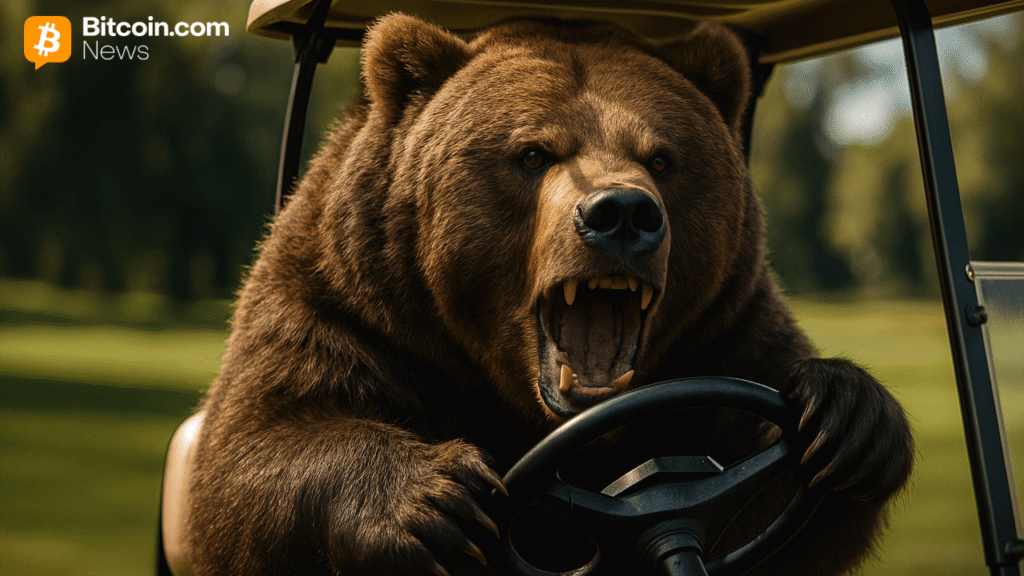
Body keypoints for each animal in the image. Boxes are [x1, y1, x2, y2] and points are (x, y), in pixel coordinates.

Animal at [185, 13, 914, 576]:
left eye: (661, 157)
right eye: (533, 153)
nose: (621, 214)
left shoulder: (726, 332)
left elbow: (780, 510)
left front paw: (848, 418)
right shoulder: (355, 308)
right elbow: (250, 452)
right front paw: (435, 498)